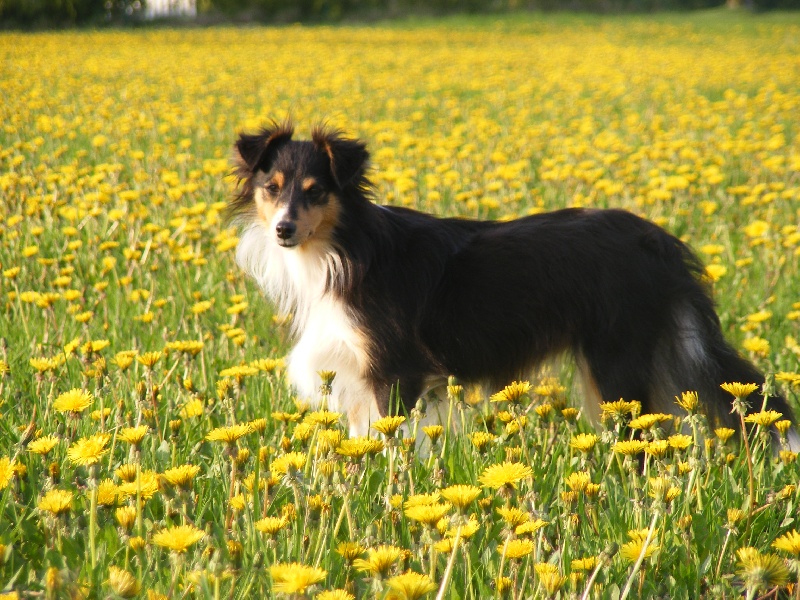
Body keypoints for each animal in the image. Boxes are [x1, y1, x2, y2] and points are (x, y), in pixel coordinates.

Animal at [228, 122, 796, 440]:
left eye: (315, 191)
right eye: (272, 187)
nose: (283, 230)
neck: (345, 247)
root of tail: (657, 240)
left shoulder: (395, 371)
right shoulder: (353, 372)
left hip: (615, 364)